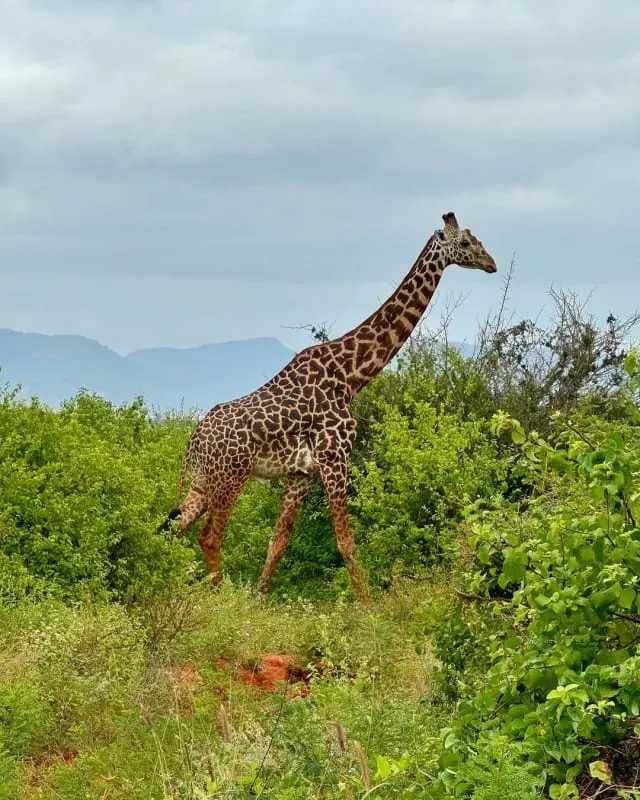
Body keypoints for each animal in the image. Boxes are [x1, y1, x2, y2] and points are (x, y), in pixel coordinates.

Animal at [158, 212, 497, 602]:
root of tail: (194, 440)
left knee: (174, 528)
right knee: (209, 535)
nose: (492, 264)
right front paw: (367, 607)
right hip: (231, 476)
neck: (351, 375)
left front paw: (259, 600)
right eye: (467, 242)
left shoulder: (301, 473)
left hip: (203, 480)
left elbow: (278, 542)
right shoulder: (335, 457)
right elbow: (346, 543)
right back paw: (219, 599)